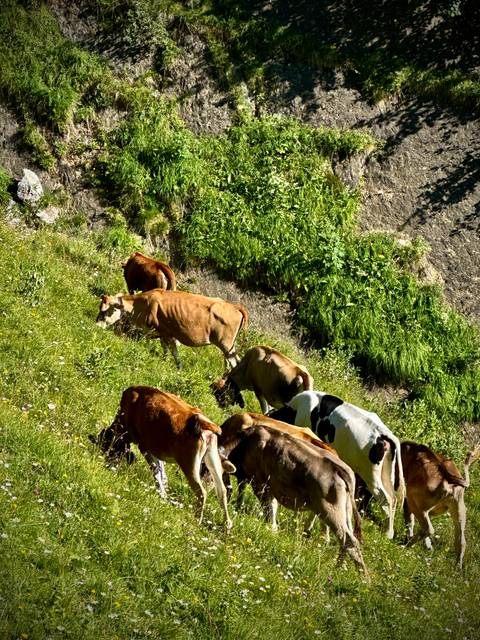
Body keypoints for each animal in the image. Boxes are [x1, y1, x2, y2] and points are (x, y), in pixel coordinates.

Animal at [89, 386, 235, 530]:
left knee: (201, 492)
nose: (106, 464)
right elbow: (162, 472)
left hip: (188, 462)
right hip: (212, 457)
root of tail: (201, 420)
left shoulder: (144, 446)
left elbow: (156, 471)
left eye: (105, 448)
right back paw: (227, 525)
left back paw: (196, 520)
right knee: (221, 490)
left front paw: (162, 494)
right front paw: (164, 494)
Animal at [96, 289, 249, 370]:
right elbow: (167, 349)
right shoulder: (165, 334)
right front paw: (166, 361)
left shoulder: (165, 332)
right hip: (230, 346)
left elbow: (173, 350)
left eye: (106, 310)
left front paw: (177, 366)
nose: (96, 325)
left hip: (225, 344)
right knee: (234, 362)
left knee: (233, 363)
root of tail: (234, 306)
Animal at [218, 423, 367, 574]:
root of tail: (339, 468)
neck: (245, 441)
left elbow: (269, 512)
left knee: (349, 541)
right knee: (346, 540)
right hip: (345, 511)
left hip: (331, 512)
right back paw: (339, 568)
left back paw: (360, 576)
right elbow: (271, 511)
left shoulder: (260, 485)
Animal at [269, 390, 405, 539]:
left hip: (371, 475)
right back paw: (390, 532)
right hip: (386, 474)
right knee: (393, 499)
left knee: (386, 500)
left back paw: (387, 534)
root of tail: (383, 433)